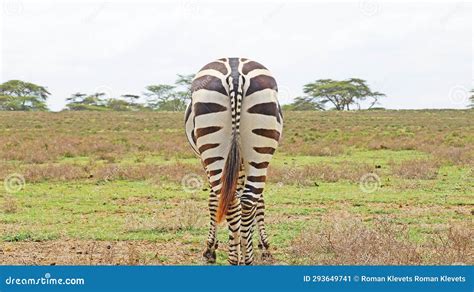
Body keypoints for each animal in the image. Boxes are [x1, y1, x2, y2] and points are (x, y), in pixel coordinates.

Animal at [184, 57, 282, 264]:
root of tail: (235, 72)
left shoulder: (205, 161)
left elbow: (214, 202)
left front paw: (210, 248)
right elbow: (257, 203)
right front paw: (260, 245)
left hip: (214, 152)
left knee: (230, 202)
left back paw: (234, 257)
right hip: (259, 149)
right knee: (247, 201)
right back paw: (246, 258)